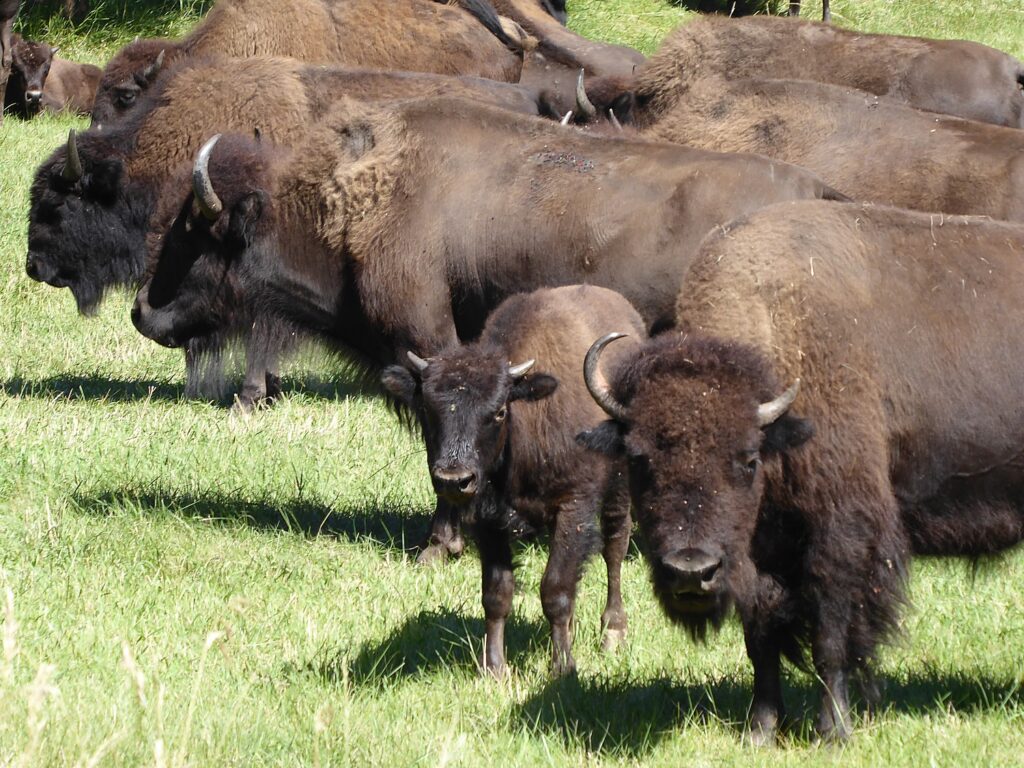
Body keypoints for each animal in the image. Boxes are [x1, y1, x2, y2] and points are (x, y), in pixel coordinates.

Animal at [380, 286, 643, 675]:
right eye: (427, 409)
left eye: (500, 411)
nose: (453, 479)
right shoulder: (488, 522)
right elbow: (496, 593)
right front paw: (494, 668)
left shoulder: (573, 508)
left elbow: (555, 589)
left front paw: (562, 667)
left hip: (618, 489)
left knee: (614, 547)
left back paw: (613, 631)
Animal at [581, 201, 1024, 741]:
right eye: (640, 460)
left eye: (748, 459)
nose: (690, 571)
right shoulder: (759, 553)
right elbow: (761, 639)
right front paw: (761, 728)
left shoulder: (840, 534)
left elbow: (830, 639)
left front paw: (833, 731)